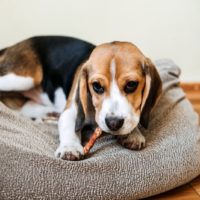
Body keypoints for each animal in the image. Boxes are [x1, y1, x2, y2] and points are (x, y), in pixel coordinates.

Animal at [0, 37, 162, 161]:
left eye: (131, 84)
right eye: (97, 86)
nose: (113, 123)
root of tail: (12, 46)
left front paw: (133, 134)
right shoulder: (71, 110)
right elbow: (69, 125)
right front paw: (69, 148)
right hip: (25, 78)